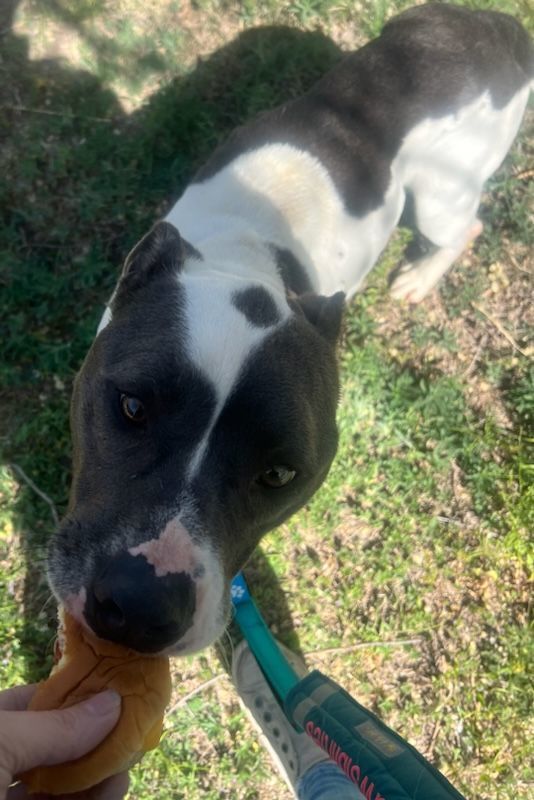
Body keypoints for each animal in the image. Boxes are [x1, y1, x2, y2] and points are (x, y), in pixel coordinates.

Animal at [48, 4, 532, 656]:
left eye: (279, 475)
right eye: (131, 407)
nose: (141, 605)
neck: (252, 256)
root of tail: (502, 27)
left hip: (441, 197)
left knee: (464, 226)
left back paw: (420, 277)